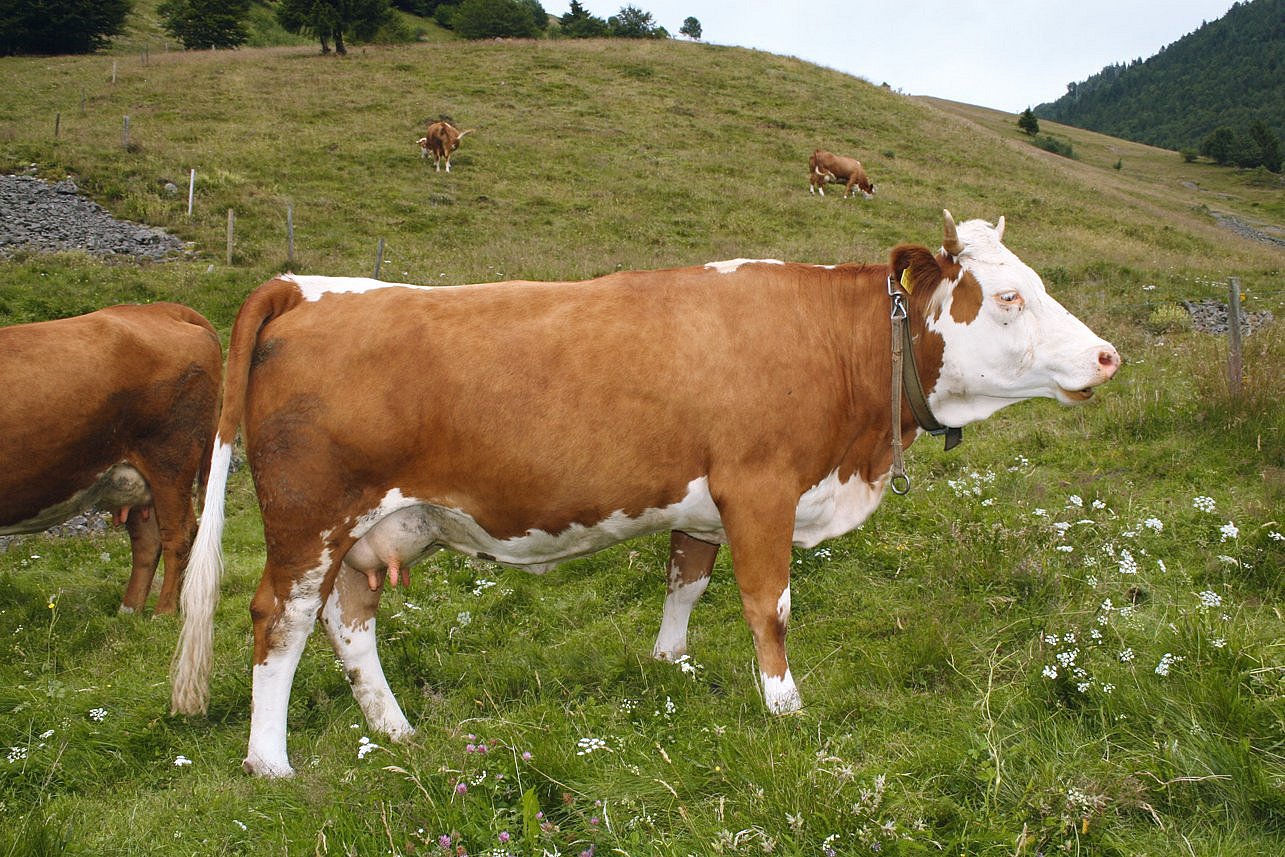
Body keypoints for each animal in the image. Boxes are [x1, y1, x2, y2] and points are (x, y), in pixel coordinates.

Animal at [0, 304, 221, 614]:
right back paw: (128, 612)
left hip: (170, 460)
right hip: (135, 477)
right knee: (147, 541)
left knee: (180, 534)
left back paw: (163, 612)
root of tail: (162, 309)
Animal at [173, 209, 1125, 776]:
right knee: (280, 619)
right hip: (309, 519)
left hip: (371, 530)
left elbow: (686, 581)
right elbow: (768, 603)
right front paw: (784, 705)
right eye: (1009, 295)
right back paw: (270, 762)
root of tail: (312, 287)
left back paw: (395, 727)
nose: (1107, 355)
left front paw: (669, 665)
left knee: (348, 620)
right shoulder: (759, 487)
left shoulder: (703, 503)